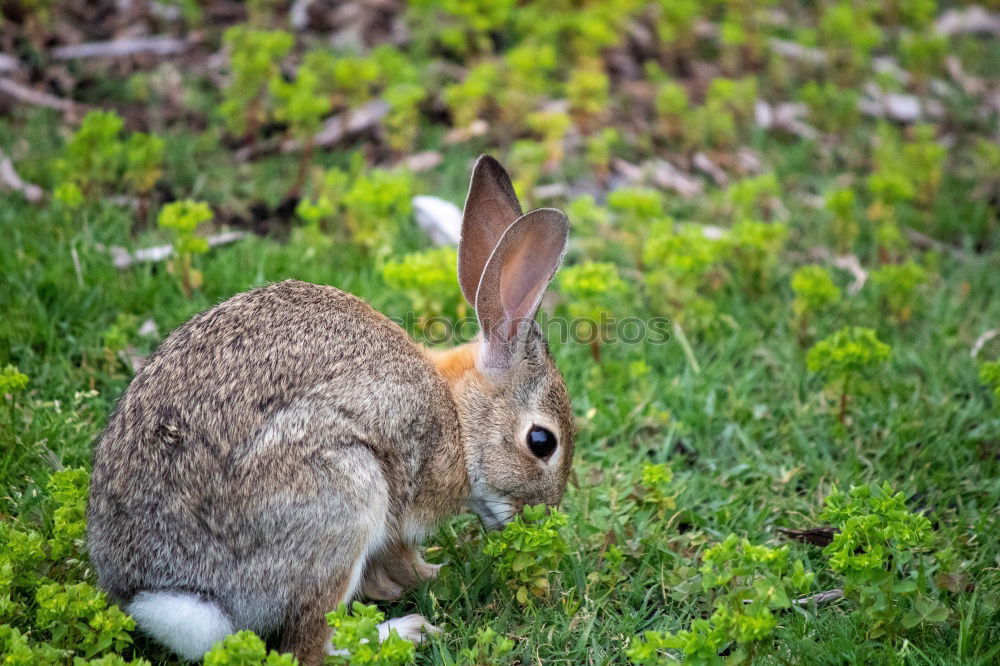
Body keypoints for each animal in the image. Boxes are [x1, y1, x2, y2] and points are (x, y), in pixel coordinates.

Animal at [90, 154, 576, 660]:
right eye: (542, 442)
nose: (542, 517)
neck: (459, 419)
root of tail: (172, 596)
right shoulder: (402, 501)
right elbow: (400, 556)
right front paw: (429, 576)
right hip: (344, 495)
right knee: (309, 645)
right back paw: (402, 633)